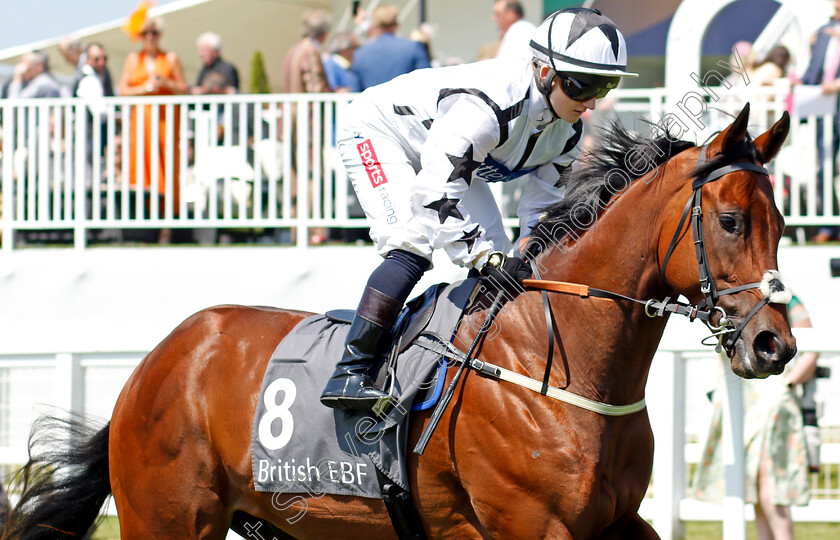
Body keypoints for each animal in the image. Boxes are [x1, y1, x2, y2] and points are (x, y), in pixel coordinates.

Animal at [4, 103, 796, 536]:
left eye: (783, 223)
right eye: (730, 220)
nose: (774, 345)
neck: (558, 361)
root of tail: (151, 367)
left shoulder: (616, 521)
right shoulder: (533, 525)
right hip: (166, 519)